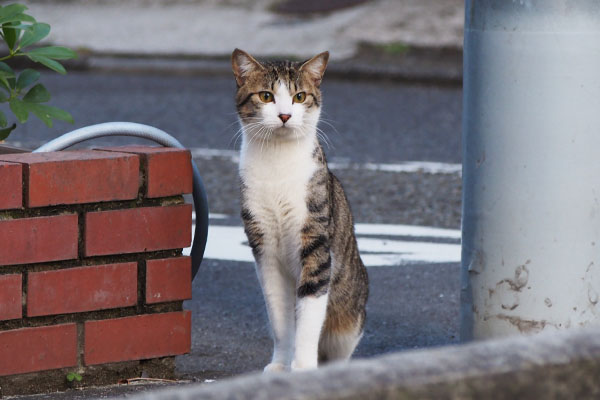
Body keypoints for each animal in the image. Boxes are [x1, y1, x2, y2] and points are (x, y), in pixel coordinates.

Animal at [231, 49, 368, 372]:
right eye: (266, 96)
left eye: (300, 96)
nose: (284, 115)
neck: (277, 164)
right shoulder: (264, 248)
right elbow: (280, 317)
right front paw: (281, 365)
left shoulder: (316, 244)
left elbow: (308, 314)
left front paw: (303, 368)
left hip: (349, 319)